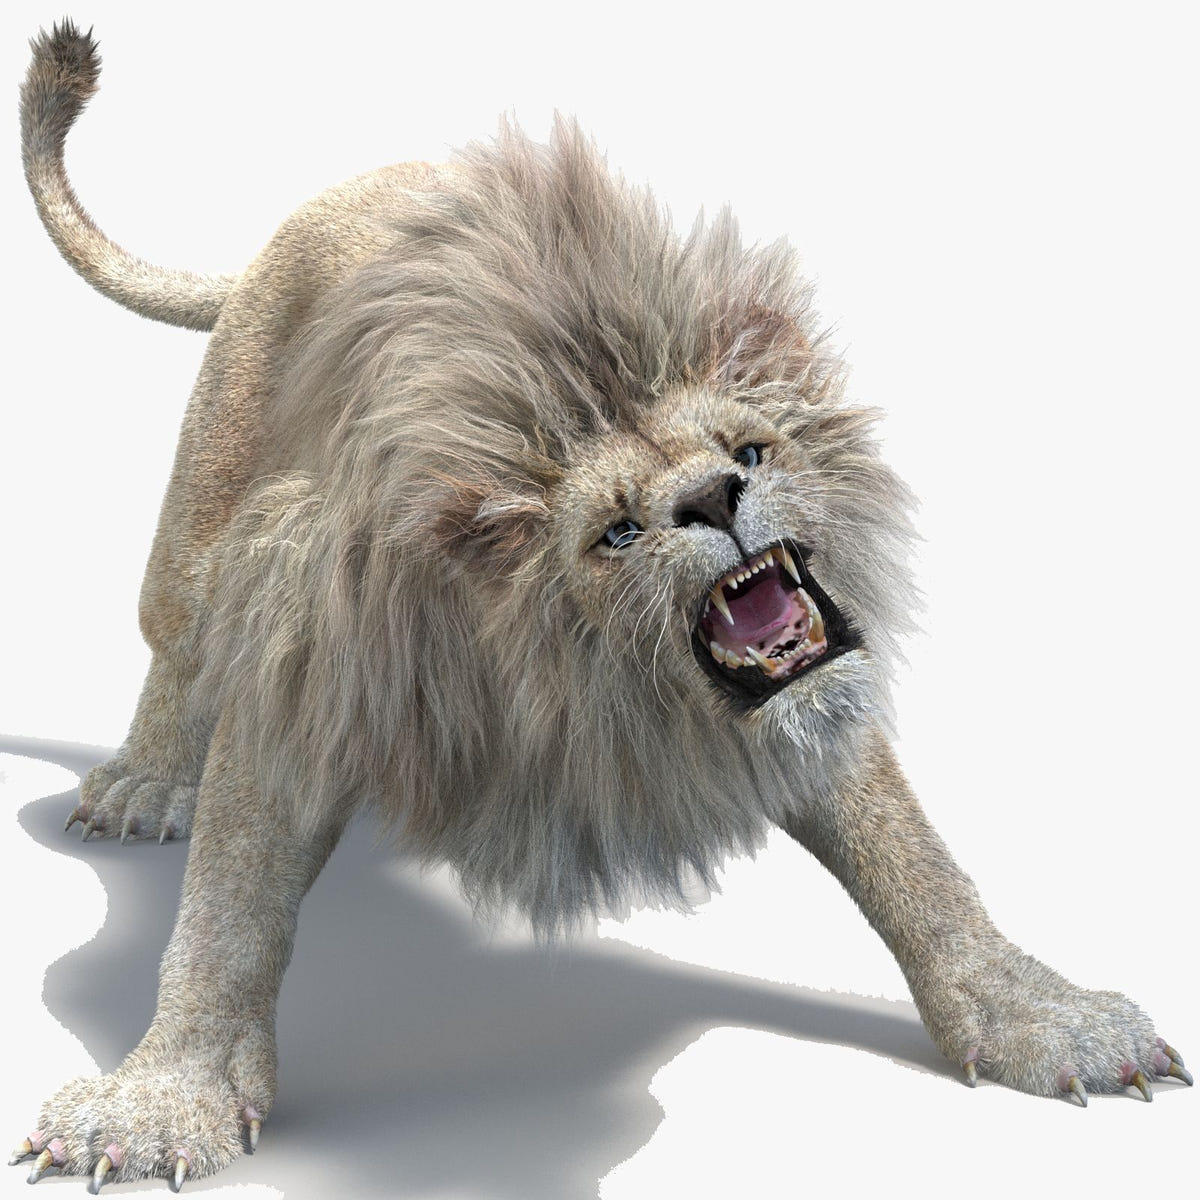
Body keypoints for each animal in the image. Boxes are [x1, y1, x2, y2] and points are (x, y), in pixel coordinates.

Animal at [12, 19, 1190, 1191]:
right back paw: (148, 784)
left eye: (751, 451)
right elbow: (229, 911)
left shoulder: (805, 712)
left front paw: (1045, 1014)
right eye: (618, 532)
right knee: (176, 640)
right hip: (206, 514)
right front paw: (162, 1099)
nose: (715, 497)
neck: (588, 672)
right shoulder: (313, 661)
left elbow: (918, 864)